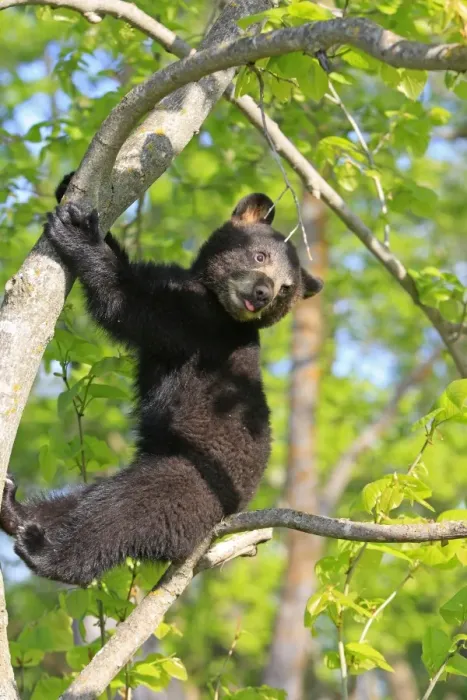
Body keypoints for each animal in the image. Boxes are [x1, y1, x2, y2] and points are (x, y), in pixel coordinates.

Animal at [0, 181, 323, 586]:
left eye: (285, 289)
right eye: (260, 255)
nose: (263, 293)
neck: (208, 292)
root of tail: (215, 533)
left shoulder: (203, 330)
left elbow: (130, 304)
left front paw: (78, 234)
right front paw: (71, 192)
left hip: (190, 487)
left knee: (126, 510)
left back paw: (45, 552)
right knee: (80, 501)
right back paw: (16, 511)